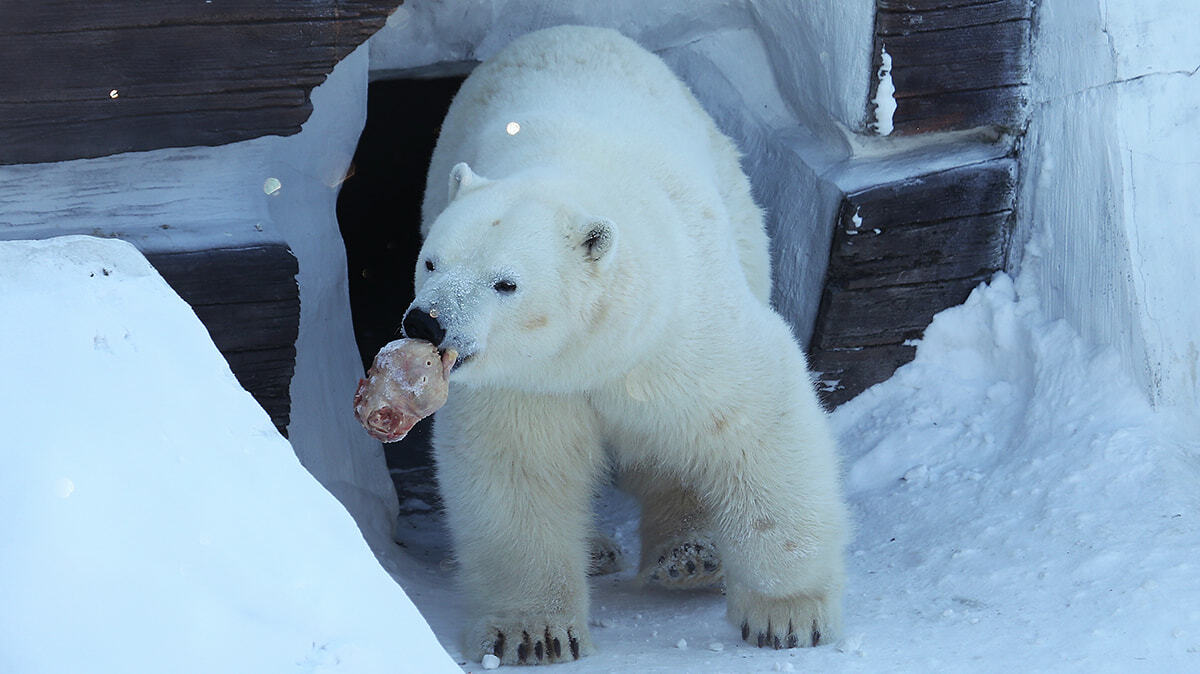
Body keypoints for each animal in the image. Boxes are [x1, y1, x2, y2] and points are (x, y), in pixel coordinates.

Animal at [408, 24, 849, 662]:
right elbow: (520, 472)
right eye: (431, 261)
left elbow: (755, 422)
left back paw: (691, 556)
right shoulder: (524, 385)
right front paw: (534, 633)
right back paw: (602, 550)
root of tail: (565, 26)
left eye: (505, 282)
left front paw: (790, 618)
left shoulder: (682, 331)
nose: (427, 323)